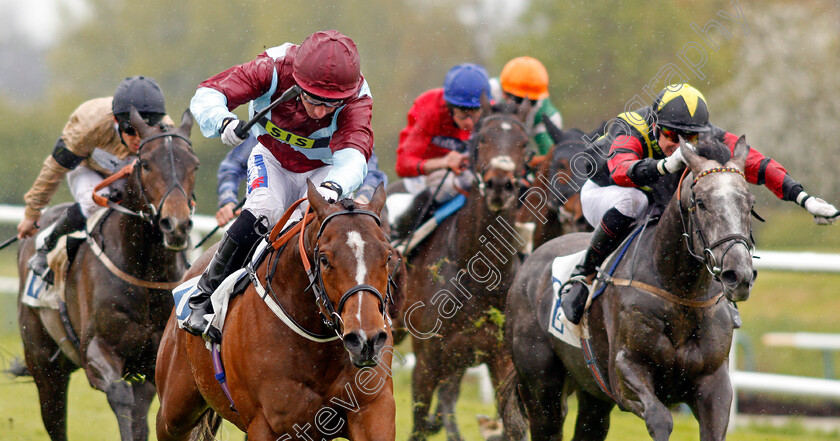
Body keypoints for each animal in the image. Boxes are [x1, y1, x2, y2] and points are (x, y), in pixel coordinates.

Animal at [18, 107, 200, 440]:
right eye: (145, 163)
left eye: (194, 165)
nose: (176, 225)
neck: (146, 273)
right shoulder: (96, 349)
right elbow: (121, 397)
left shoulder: (153, 362)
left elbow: (141, 415)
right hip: (44, 364)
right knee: (54, 418)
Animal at [157, 180, 400, 438]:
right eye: (324, 259)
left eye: (388, 256)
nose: (366, 339)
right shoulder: (266, 425)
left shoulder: (372, 408)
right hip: (174, 412)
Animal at [398, 102, 528, 440]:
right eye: (481, 139)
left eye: (524, 143)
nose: (500, 185)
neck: (477, 273)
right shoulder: (426, 360)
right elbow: (418, 424)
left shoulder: (501, 357)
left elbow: (514, 425)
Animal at [506, 136, 756, 438]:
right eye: (701, 202)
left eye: (750, 203)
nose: (737, 275)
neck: (680, 292)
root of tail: (529, 262)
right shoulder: (625, 372)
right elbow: (660, 419)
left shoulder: (714, 382)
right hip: (541, 387)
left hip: (593, 395)